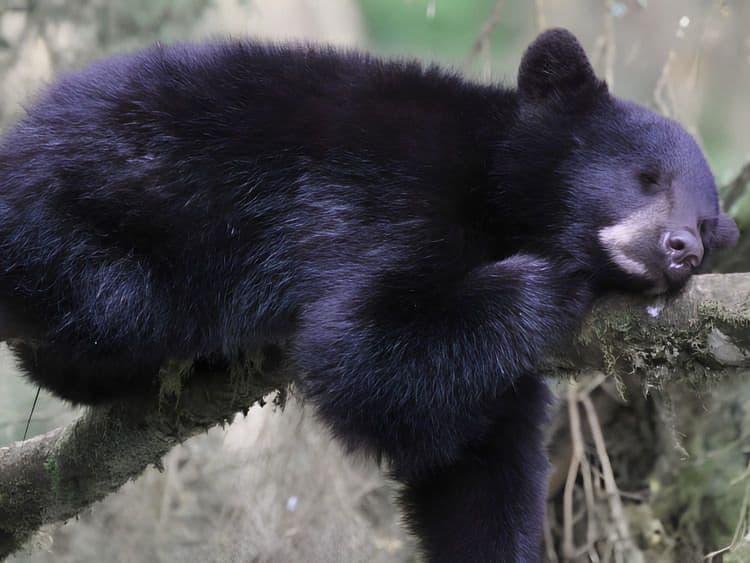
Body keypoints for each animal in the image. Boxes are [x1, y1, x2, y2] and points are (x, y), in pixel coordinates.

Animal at [0, 28, 738, 561]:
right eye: (645, 177)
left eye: (710, 225)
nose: (681, 247)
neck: (498, 189)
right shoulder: (396, 204)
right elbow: (360, 345)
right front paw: (553, 277)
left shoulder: (501, 376)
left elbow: (476, 459)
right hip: (99, 221)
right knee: (108, 307)